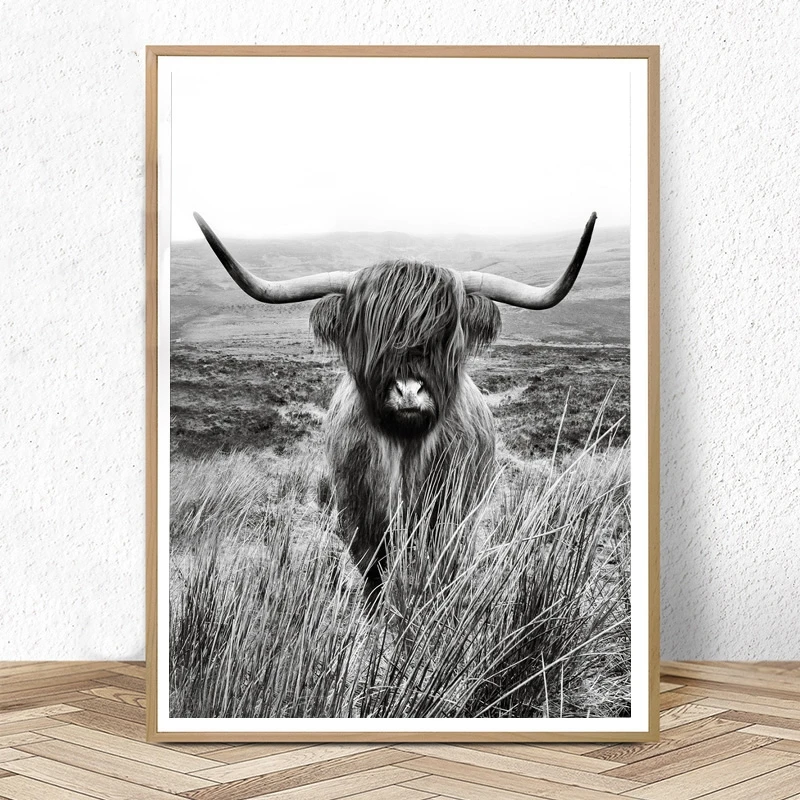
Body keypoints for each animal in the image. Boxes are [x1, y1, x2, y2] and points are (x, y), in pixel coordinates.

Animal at [193, 211, 597, 601]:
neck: (404, 449)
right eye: (373, 335)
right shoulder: (358, 518)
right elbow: (373, 574)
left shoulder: (452, 516)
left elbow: (438, 571)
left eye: (446, 336)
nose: (408, 390)